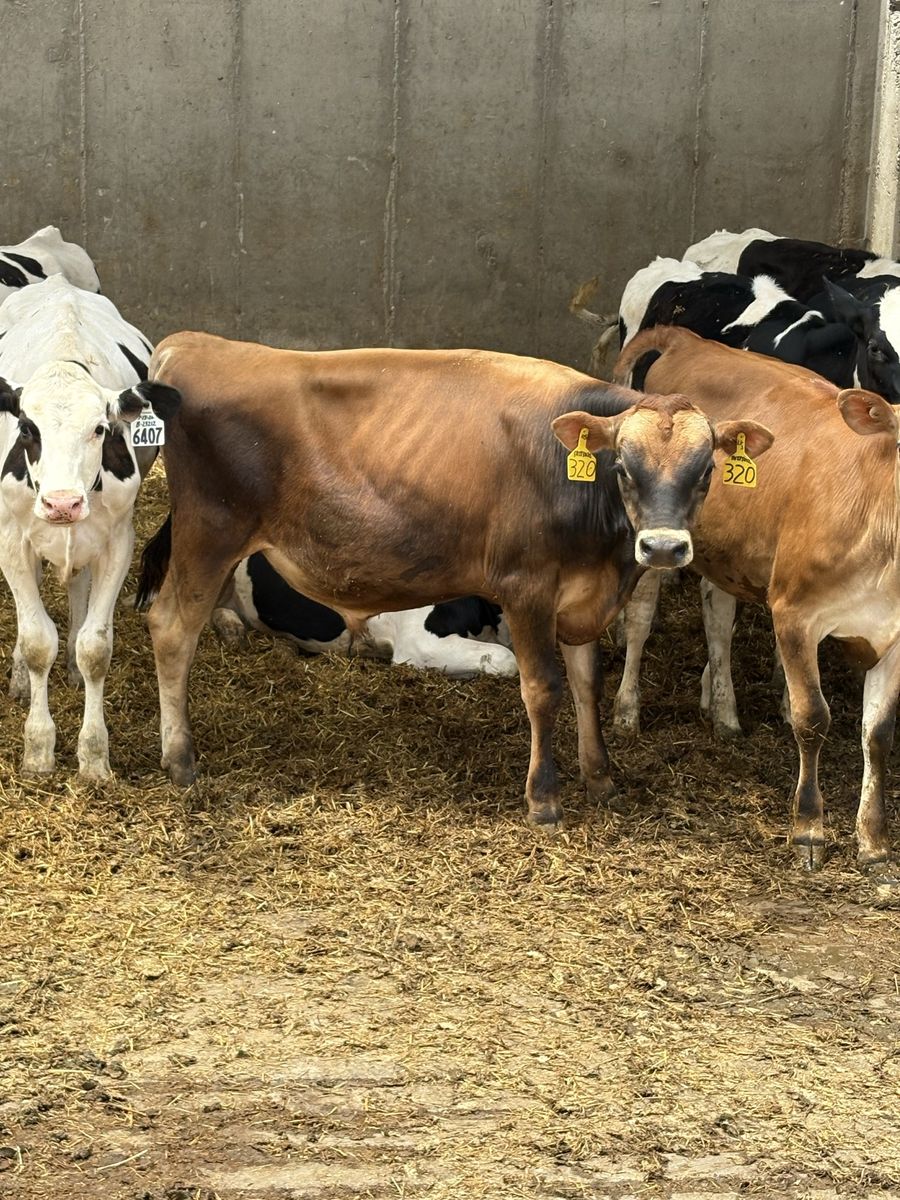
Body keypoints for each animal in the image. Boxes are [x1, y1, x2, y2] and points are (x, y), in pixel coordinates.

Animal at [0, 274, 159, 778]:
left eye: (100, 429)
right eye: (27, 428)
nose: (63, 503)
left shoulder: (117, 542)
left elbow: (95, 648)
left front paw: (93, 757)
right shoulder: (10, 540)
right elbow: (36, 641)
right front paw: (38, 749)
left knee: (77, 589)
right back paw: (19, 677)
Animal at [613, 325, 900, 873]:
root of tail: (691, 340)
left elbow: (877, 735)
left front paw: (873, 842)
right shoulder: (794, 612)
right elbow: (814, 720)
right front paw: (808, 830)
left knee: (717, 615)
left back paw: (723, 711)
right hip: (656, 541)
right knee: (639, 621)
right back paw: (626, 711)